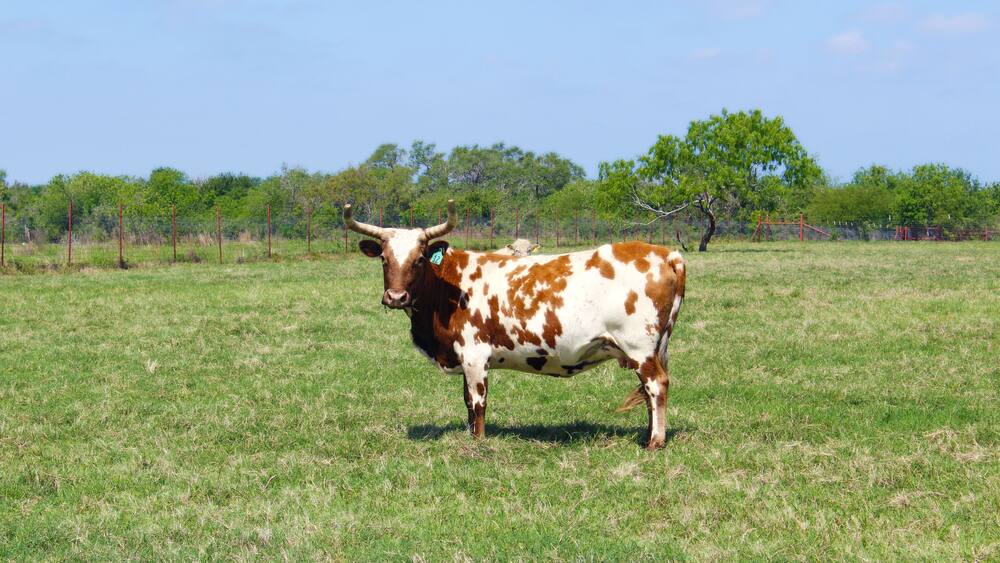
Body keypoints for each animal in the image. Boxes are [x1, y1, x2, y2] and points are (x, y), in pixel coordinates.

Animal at [345, 200, 686, 449]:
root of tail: (667, 254)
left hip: (639, 348)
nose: (396, 296)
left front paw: (478, 442)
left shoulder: (474, 356)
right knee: (649, 392)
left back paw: (655, 443)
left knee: (657, 385)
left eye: (418, 259)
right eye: (384, 259)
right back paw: (647, 435)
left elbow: (477, 402)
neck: (448, 287)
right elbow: (466, 401)